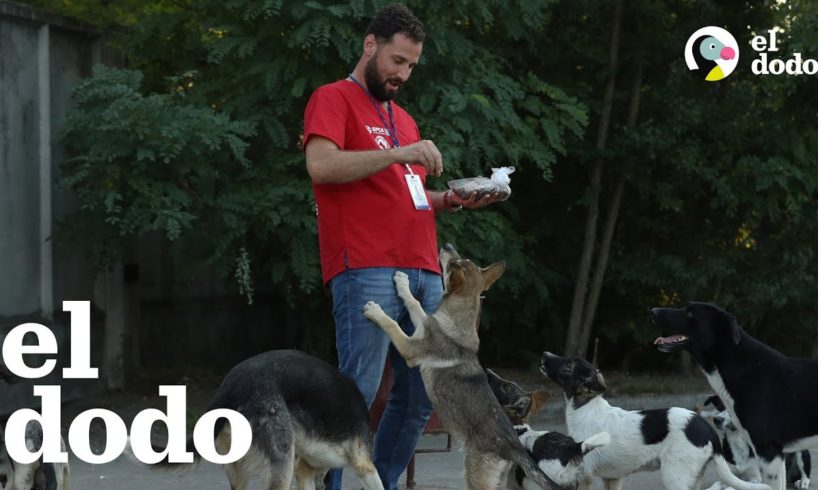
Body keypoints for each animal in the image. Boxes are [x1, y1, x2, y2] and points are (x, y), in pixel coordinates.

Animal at [364, 245, 568, 490]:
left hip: (475, 476)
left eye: (455, 262)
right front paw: (403, 283)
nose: (447, 246)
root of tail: (515, 446)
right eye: (461, 257)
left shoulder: (410, 349)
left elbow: (392, 323)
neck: (456, 322)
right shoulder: (425, 323)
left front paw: (375, 311)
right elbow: (415, 304)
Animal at [540, 352, 768, 490]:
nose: (545, 355)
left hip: (675, 476)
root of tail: (706, 427)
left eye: (569, 365)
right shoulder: (613, 478)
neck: (585, 407)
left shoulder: (584, 476)